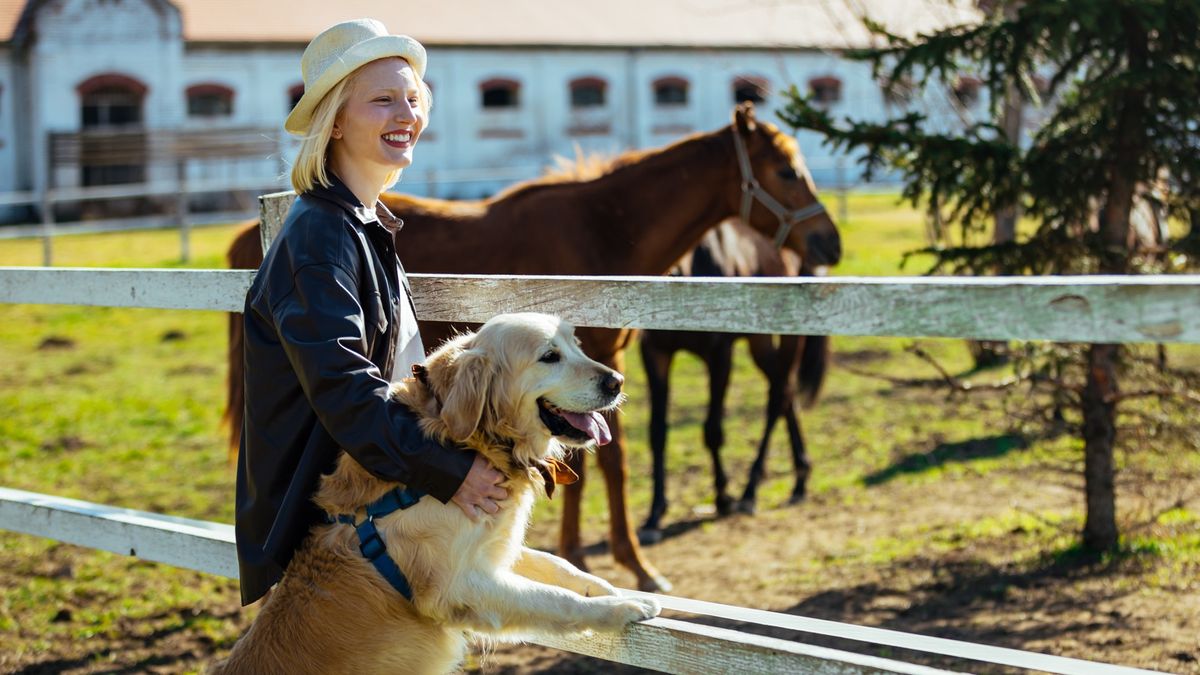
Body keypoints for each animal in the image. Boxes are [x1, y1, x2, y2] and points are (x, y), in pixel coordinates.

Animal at [643, 220, 830, 540]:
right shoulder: (655, 354)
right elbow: (657, 432)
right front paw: (655, 514)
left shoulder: (720, 355)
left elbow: (713, 429)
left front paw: (723, 497)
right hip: (759, 343)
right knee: (786, 394)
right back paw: (799, 479)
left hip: (786, 335)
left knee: (778, 397)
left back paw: (750, 492)